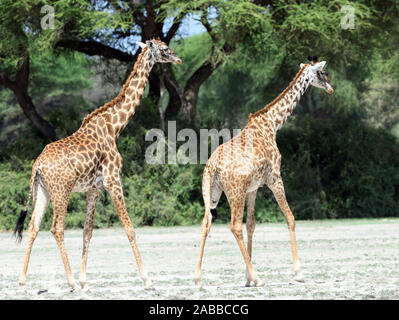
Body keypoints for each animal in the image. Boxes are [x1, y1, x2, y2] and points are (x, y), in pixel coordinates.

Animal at [14, 38, 183, 292]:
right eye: (164, 49)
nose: (178, 58)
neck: (115, 126)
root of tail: (38, 166)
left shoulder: (93, 189)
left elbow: (87, 231)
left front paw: (85, 280)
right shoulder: (113, 180)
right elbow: (130, 228)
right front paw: (148, 280)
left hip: (42, 191)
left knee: (34, 226)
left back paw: (23, 282)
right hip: (61, 191)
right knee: (56, 227)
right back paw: (70, 282)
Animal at [194, 56, 334, 286]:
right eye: (321, 73)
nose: (331, 88)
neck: (272, 124)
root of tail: (212, 166)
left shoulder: (253, 188)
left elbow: (251, 224)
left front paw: (246, 277)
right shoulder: (275, 178)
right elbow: (290, 218)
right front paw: (298, 273)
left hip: (211, 192)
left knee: (207, 222)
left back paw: (197, 277)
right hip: (235, 193)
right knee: (234, 226)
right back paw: (257, 277)